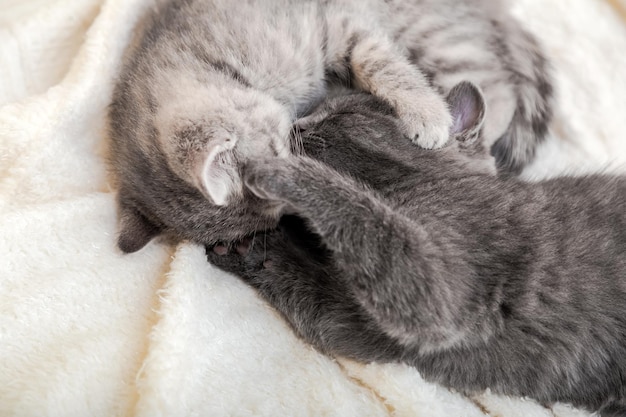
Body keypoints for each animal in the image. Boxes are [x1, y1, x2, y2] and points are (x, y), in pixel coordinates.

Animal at [107, 0, 552, 252]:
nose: (296, 211)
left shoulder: (333, 24)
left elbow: (378, 61)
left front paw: (427, 113)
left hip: (438, 43)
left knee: (494, 101)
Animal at [207, 86, 624, 414]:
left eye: (343, 115)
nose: (297, 124)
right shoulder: (364, 328)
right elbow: (315, 298)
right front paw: (249, 247)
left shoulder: (440, 289)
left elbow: (356, 207)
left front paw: (274, 167)